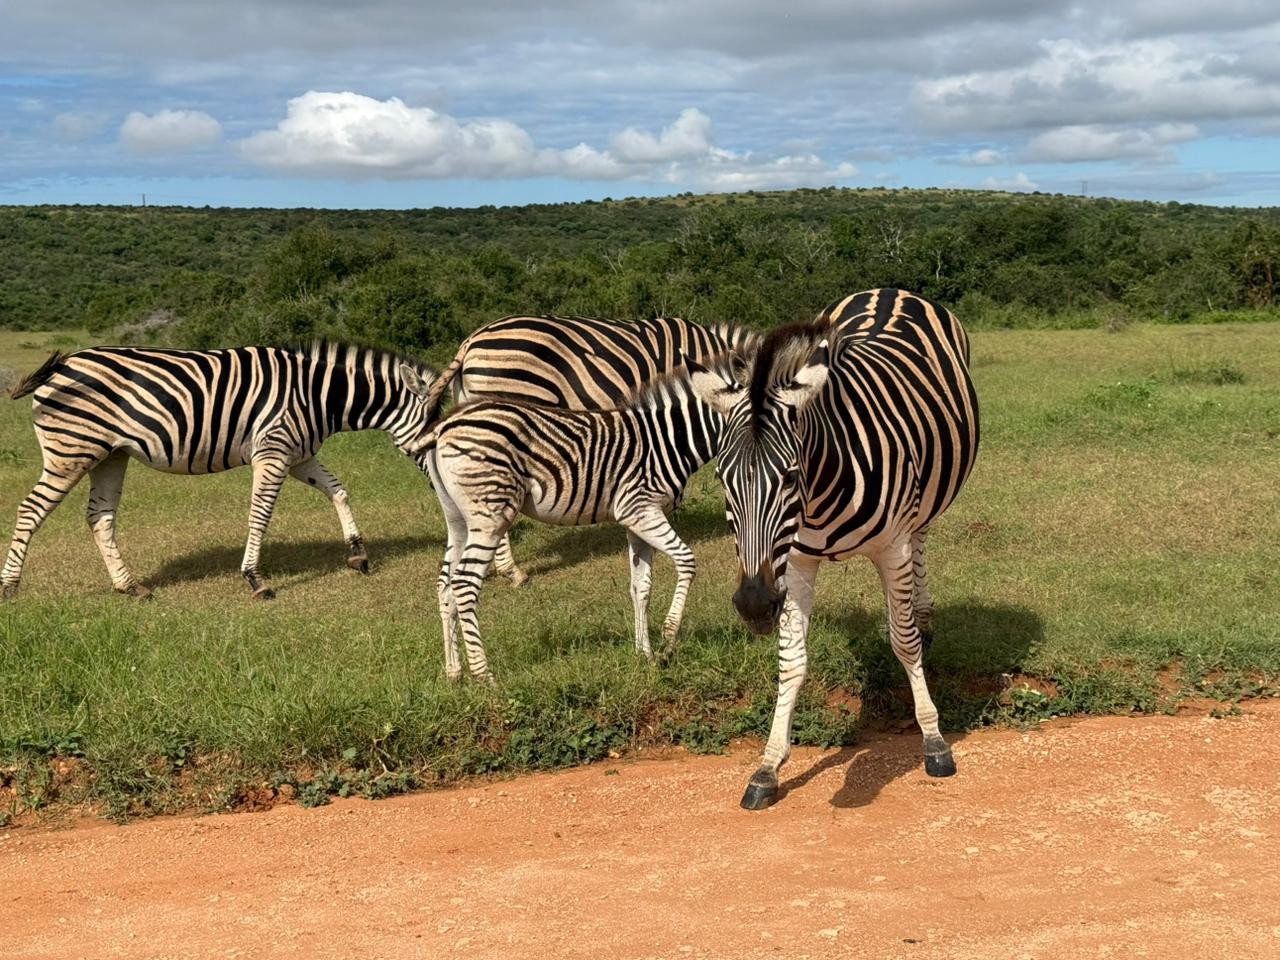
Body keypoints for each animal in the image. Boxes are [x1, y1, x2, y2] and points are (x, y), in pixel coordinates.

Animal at [3, 342, 438, 600]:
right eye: (437, 425)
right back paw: (10, 587)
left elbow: (338, 490)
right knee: (31, 509)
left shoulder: (299, 455)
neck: (318, 396)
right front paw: (255, 580)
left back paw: (131, 587)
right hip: (71, 450)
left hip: (110, 455)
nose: (440, 487)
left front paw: (358, 554)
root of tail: (62, 366)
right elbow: (260, 515)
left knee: (100, 517)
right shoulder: (273, 451)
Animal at [398, 356, 730, 681]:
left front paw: (644, 654)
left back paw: (454, 672)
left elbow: (640, 586)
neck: (668, 439)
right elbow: (686, 561)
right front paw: (668, 643)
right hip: (489, 516)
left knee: (445, 584)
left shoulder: (636, 520)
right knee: (464, 582)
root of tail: (445, 426)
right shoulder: (640, 508)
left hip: (458, 520)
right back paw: (484, 676)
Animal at [686, 289, 980, 809]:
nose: (754, 605)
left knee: (922, 546)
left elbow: (903, 641)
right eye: (722, 480)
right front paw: (768, 766)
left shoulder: (892, 549)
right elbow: (792, 662)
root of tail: (890, 290)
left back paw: (923, 614)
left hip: (925, 504)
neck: (819, 496)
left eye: (789, 476)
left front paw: (934, 742)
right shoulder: (793, 563)